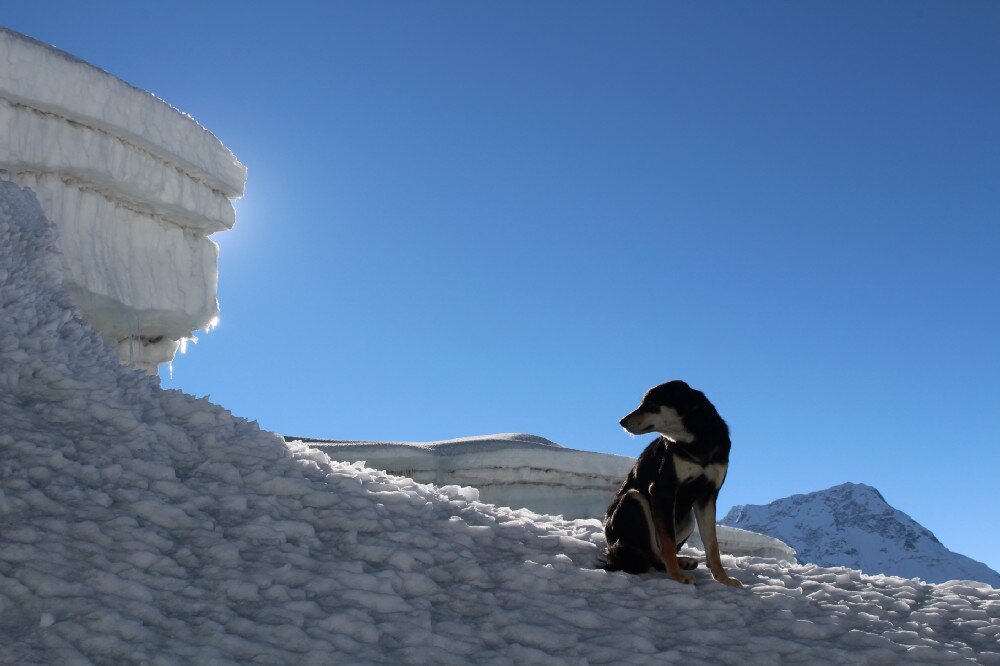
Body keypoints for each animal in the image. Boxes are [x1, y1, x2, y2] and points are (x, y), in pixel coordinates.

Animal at [600, 382, 744, 584]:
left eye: (652, 404)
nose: (622, 421)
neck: (696, 442)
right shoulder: (663, 490)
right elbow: (668, 543)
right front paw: (676, 576)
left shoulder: (708, 495)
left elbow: (712, 545)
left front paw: (724, 579)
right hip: (634, 498)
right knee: (654, 554)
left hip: (688, 518)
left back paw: (683, 561)